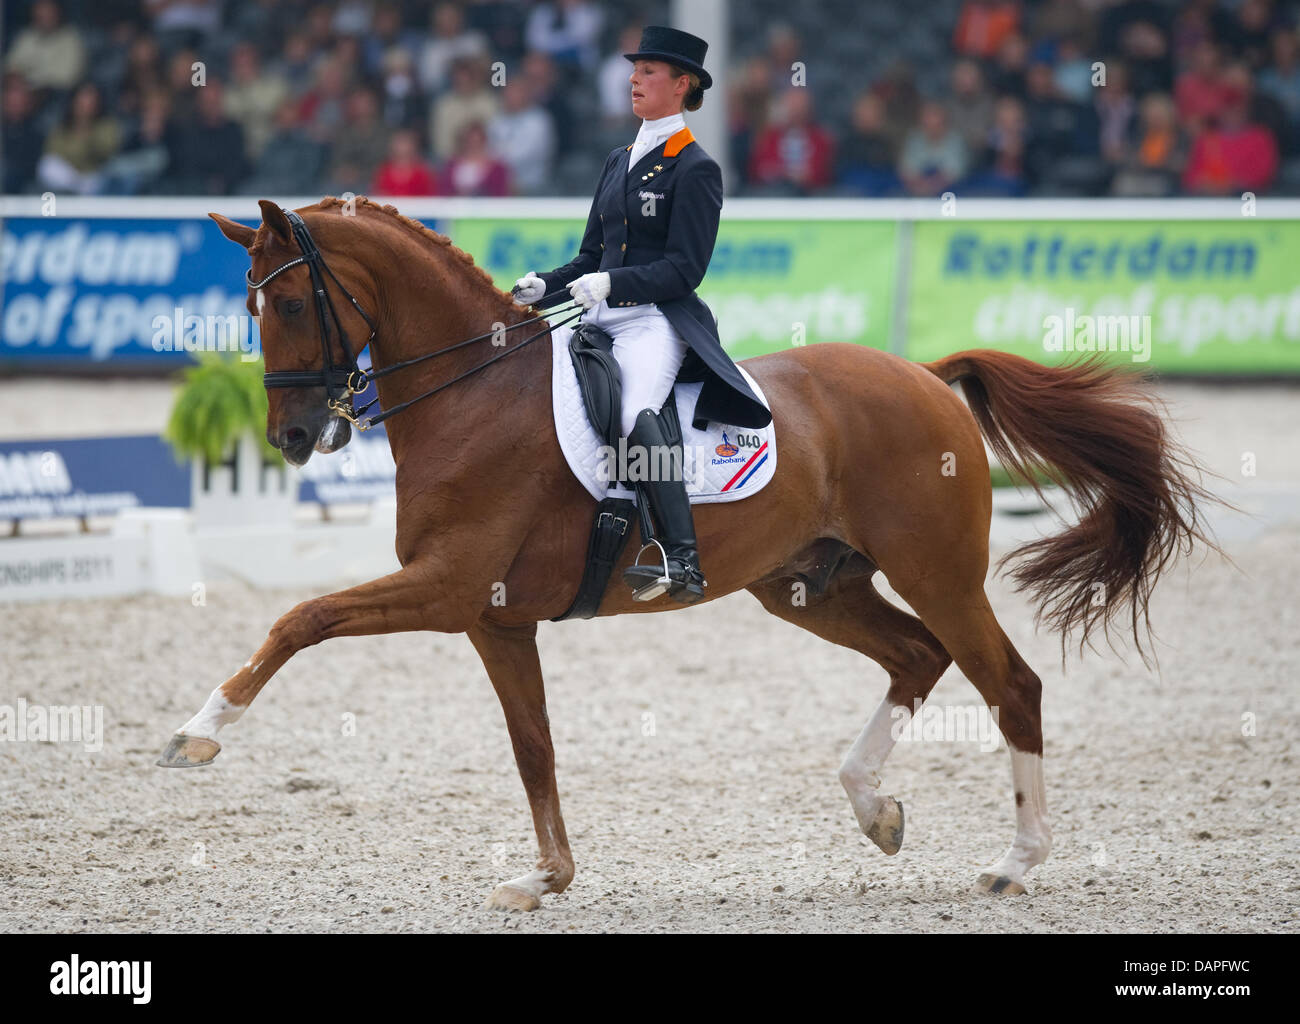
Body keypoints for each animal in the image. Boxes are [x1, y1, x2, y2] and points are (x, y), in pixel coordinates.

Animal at [157, 196, 1211, 909]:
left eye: (293, 304)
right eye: (252, 310)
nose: (294, 438)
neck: (473, 397)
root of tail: (924, 374)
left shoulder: (446, 587)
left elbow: (302, 616)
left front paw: (199, 732)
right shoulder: (494, 618)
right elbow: (534, 746)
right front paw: (545, 877)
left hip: (935, 570)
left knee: (1009, 684)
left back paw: (1014, 863)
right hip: (807, 586)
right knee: (919, 657)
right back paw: (875, 810)